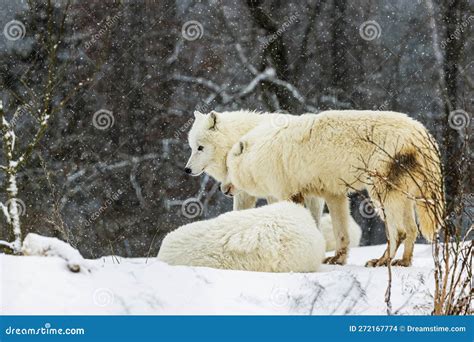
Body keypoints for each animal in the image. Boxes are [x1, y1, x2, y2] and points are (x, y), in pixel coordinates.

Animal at [224, 111, 442, 266]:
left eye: (227, 167)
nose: (224, 189)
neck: (259, 152)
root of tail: (423, 137)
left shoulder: (286, 182)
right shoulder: (331, 189)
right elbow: (340, 222)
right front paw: (335, 258)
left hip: (382, 170)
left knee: (397, 226)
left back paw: (380, 260)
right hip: (408, 184)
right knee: (411, 224)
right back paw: (403, 261)